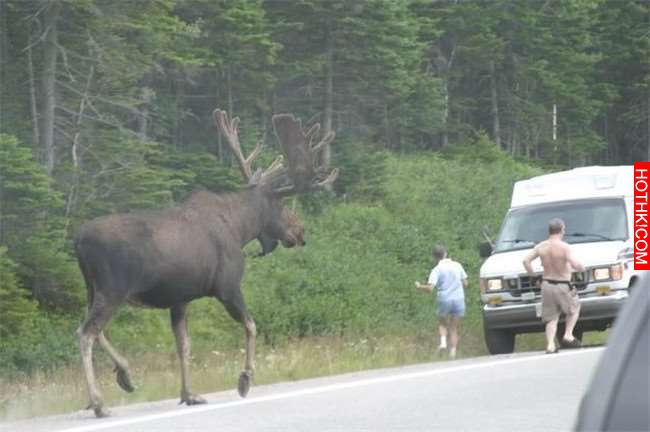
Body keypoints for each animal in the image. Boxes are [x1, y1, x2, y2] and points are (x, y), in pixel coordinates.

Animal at [74, 108, 337, 418]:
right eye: (283, 205)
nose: (301, 232)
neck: (240, 228)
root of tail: (78, 240)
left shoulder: (179, 299)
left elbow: (184, 345)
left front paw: (189, 394)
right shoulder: (228, 287)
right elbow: (251, 325)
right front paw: (245, 378)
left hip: (92, 289)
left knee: (90, 329)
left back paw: (124, 374)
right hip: (113, 289)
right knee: (86, 332)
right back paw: (99, 403)